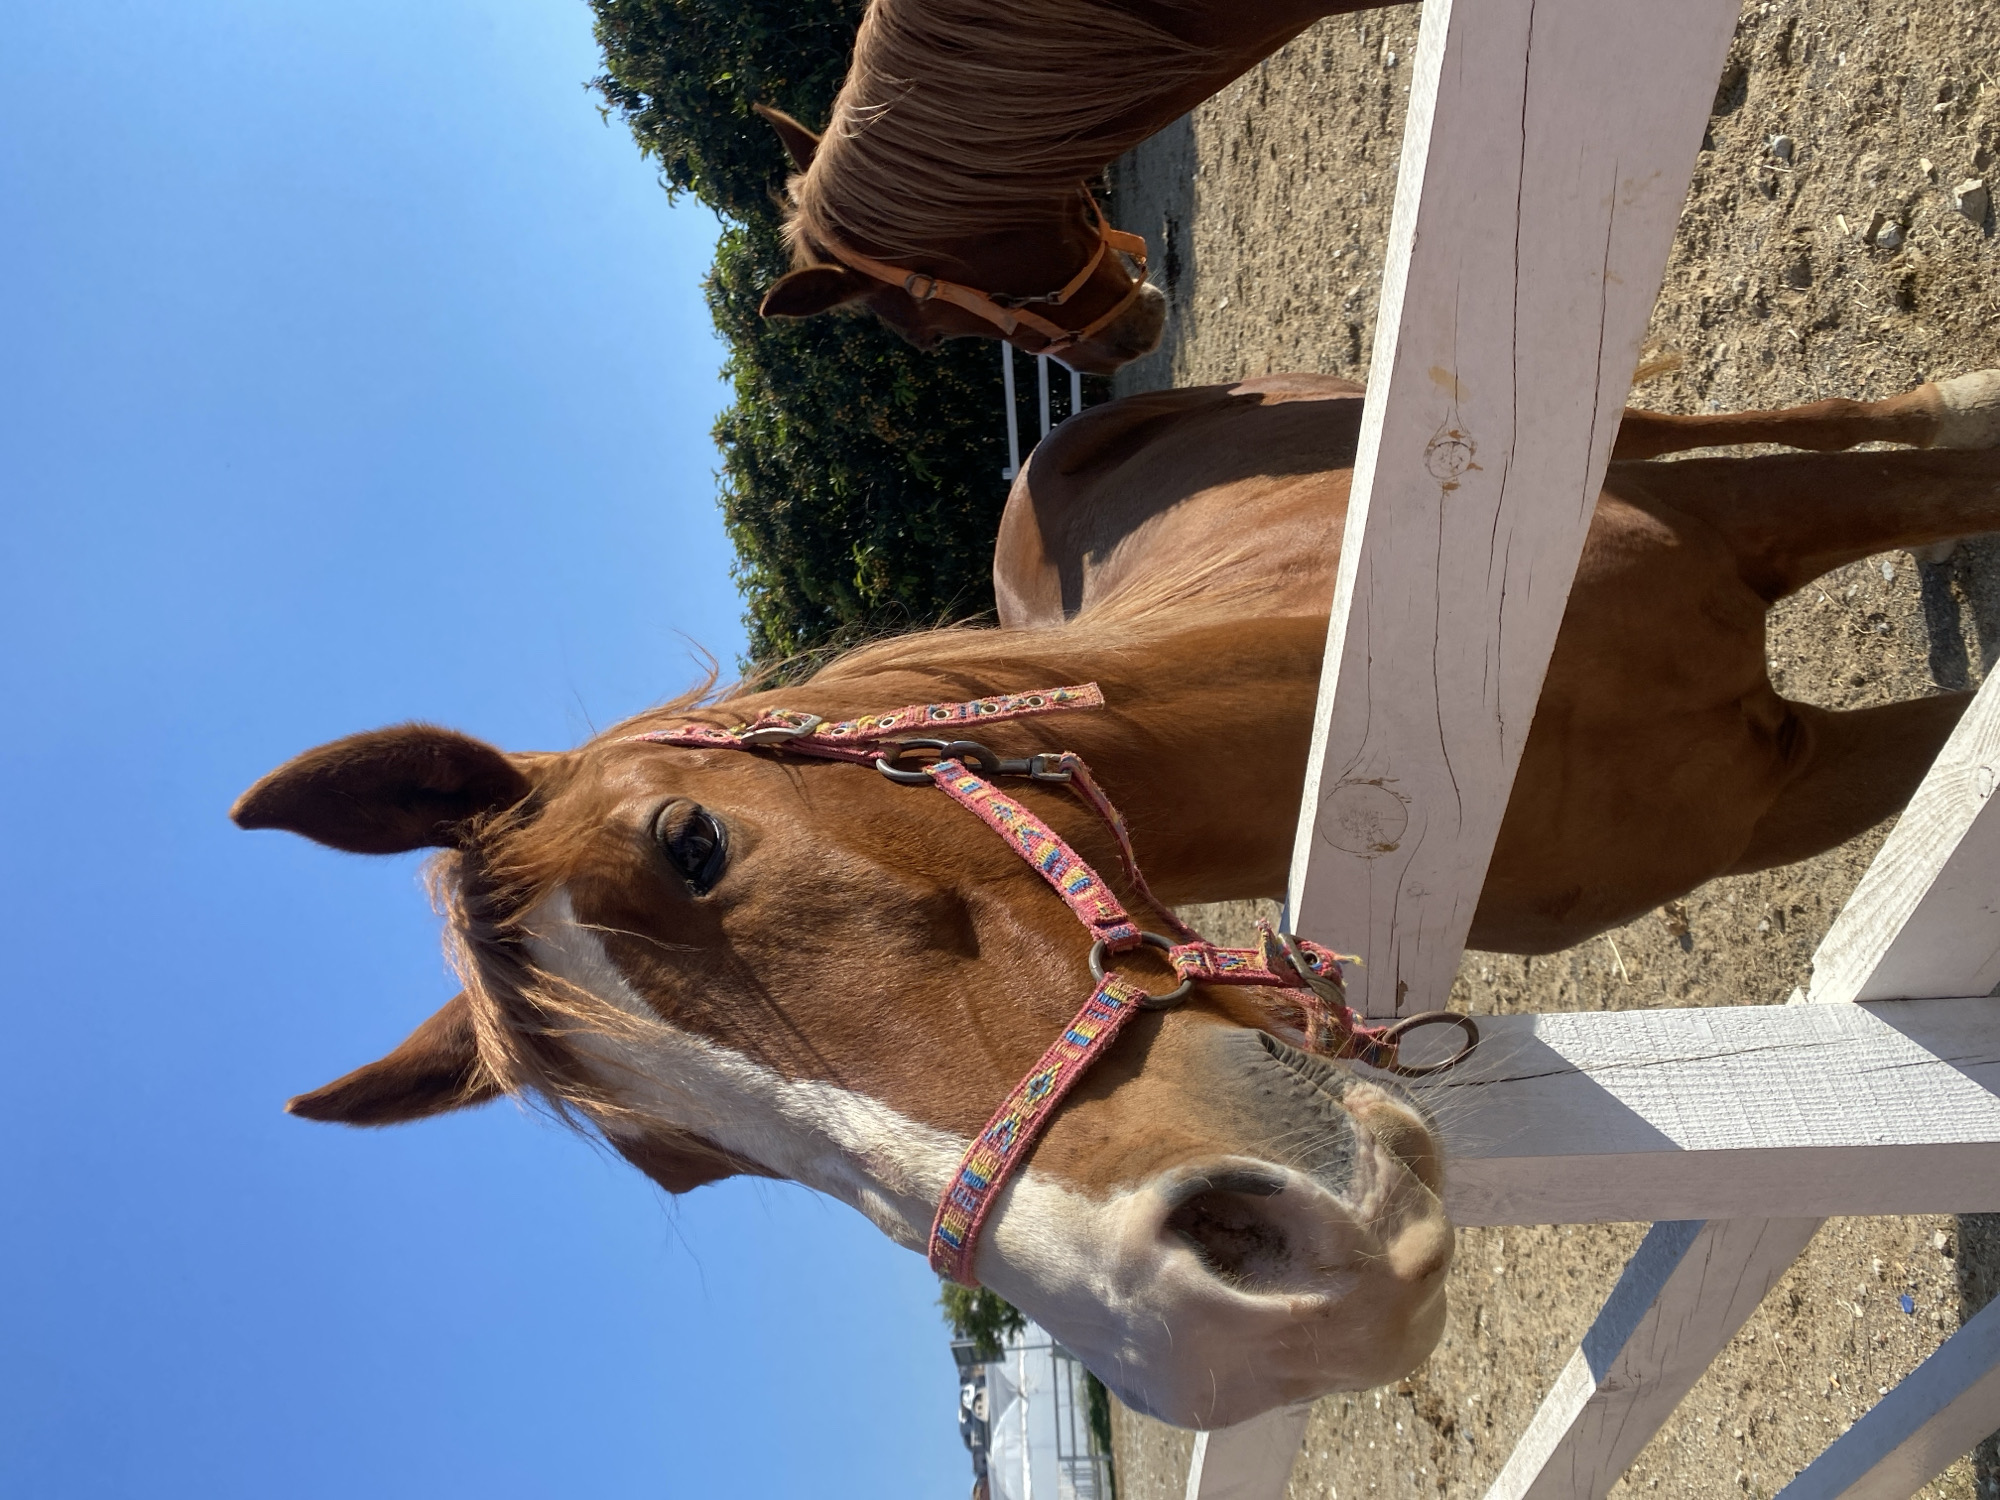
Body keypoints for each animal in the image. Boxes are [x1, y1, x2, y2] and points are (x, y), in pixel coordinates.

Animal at [231, 368, 2000, 1428]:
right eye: (688, 1168)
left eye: (690, 844)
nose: (1205, 1327)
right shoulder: (1792, 789)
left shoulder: (1768, 537)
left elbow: (1925, 468)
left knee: (1776, 419)